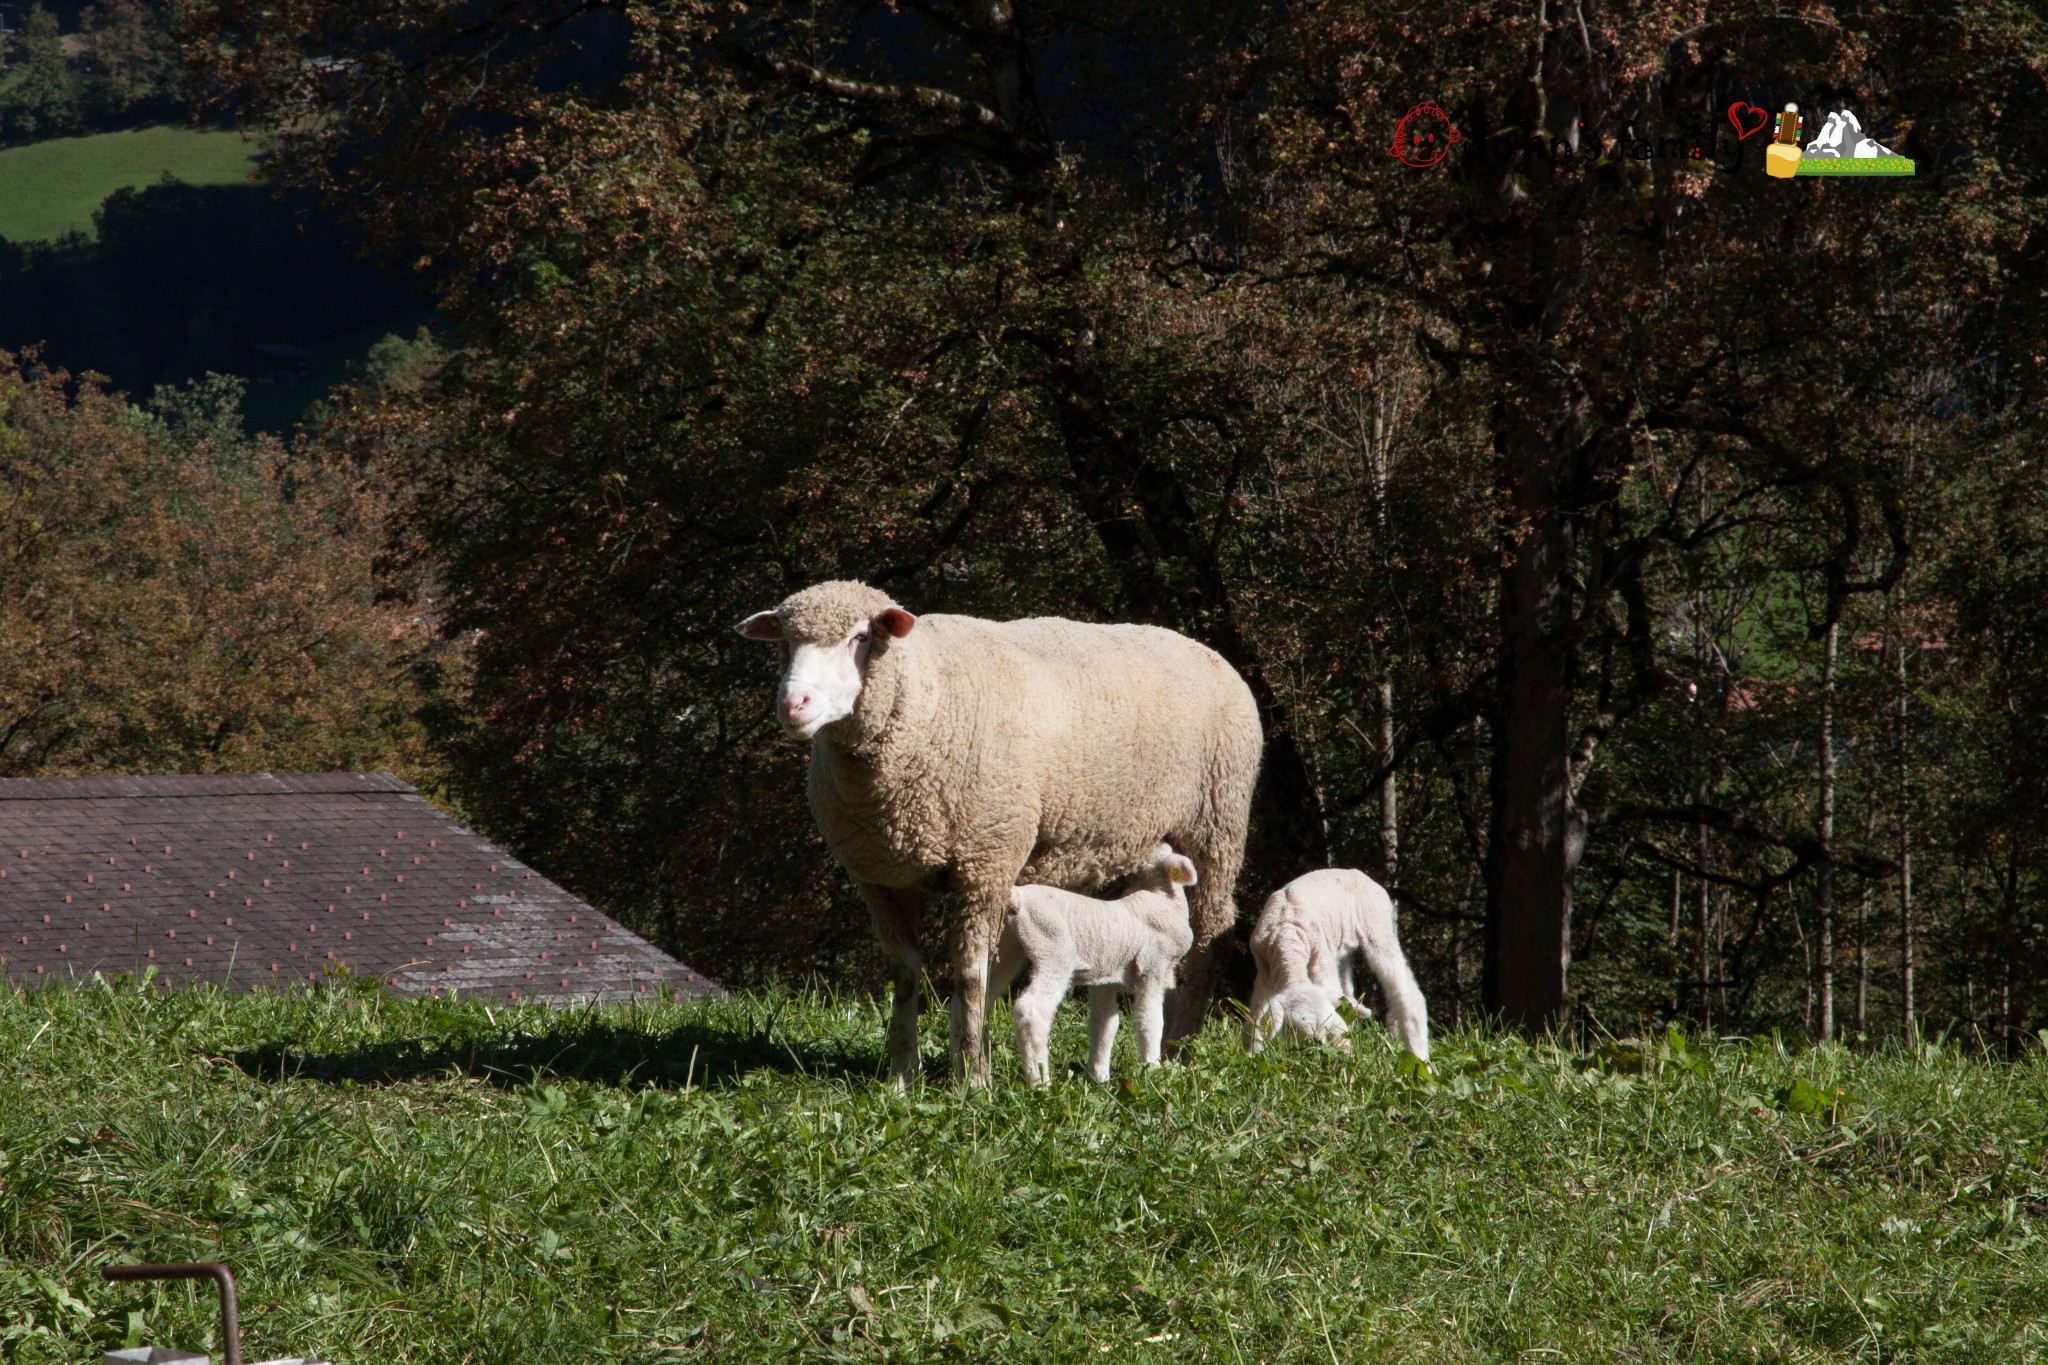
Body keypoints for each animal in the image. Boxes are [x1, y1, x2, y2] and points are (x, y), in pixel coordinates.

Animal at [991, 843, 1196, 1088]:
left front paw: (1100, 1080)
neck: (1161, 898)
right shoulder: (1152, 969)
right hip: (1053, 949)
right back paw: (1040, 1082)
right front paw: (1153, 1072)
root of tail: (1018, 898)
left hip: (1006, 946)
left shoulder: (1104, 979)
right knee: (1031, 1010)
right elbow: (1150, 1022)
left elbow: (1104, 1025)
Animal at [1236, 871, 1433, 1064]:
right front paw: (1251, 1056)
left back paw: (1419, 1056)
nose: (1317, 1050)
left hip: (1378, 928)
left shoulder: (1320, 960)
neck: (1286, 933)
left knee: (1406, 991)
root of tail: (1359, 873)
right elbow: (1254, 1019)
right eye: (1295, 1029)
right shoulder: (1264, 973)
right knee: (1347, 993)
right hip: (1343, 950)